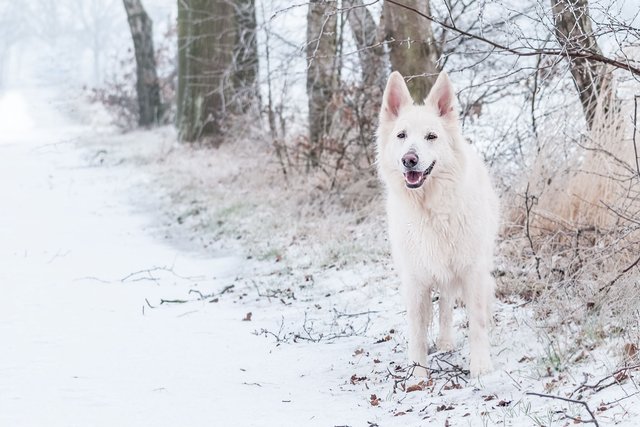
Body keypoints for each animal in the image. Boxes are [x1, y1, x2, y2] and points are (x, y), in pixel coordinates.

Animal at [376, 71, 500, 378]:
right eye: (401, 135)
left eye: (431, 136)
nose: (409, 160)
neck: (430, 209)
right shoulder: (415, 278)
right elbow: (417, 330)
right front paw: (417, 375)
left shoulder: (471, 270)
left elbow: (476, 321)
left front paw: (481, 367)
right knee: (444, 302)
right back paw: (443, 342)